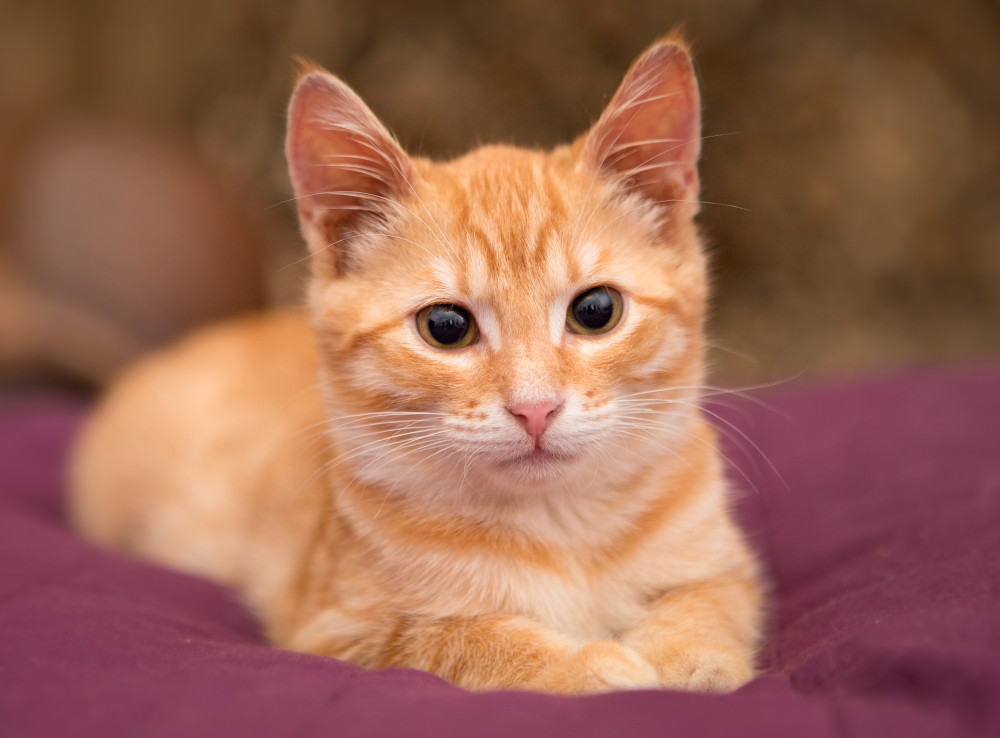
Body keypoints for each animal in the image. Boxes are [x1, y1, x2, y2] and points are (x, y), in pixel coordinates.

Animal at [72, 34, 764, 688]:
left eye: (596, 311)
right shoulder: (336, 627)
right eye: (446, 327)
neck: (556, 528)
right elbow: (458, 637)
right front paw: (586, 665)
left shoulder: (727, 565)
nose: (535, 408)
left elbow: (711, 600)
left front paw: (686, 657)